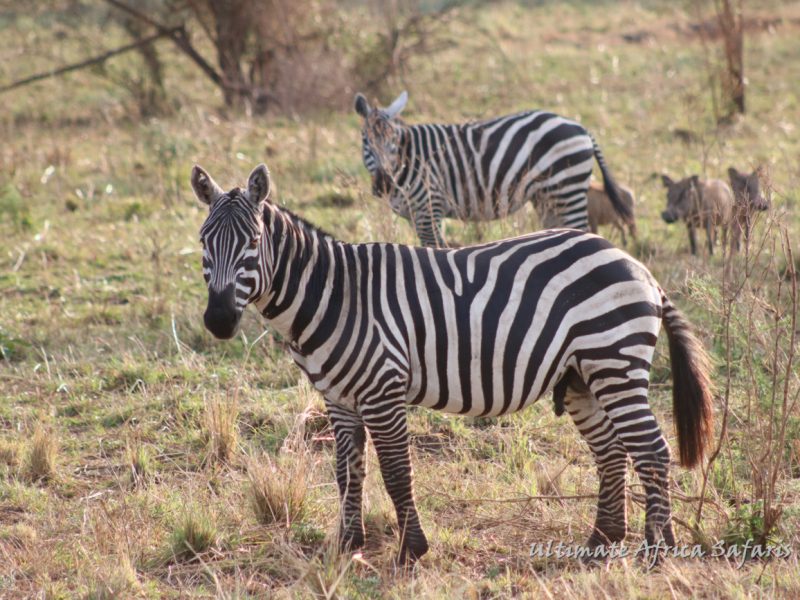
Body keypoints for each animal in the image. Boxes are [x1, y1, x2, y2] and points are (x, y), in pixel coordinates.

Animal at [192, 163, 712, 564]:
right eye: (202, 243)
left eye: (252, 242)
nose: (218, 320)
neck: (335, 296)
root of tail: (637, 266)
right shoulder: (339, 400)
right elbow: (347, 473)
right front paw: (347, 545)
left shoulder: (382, 390)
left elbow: (396, 471)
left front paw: (411, 551)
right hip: (583, 376)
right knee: (611, 451)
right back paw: (600, 543)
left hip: (614, 362)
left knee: (651, 450)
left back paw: (658, 551)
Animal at [356, 88, 632, 246]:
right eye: (367, 142)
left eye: (392, 143)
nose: (383, 184)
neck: (407, 159)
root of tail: (580, 127)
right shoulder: (418, 215)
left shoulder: (429, 206)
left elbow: (434, 249)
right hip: (548, 198)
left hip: (566, 188)